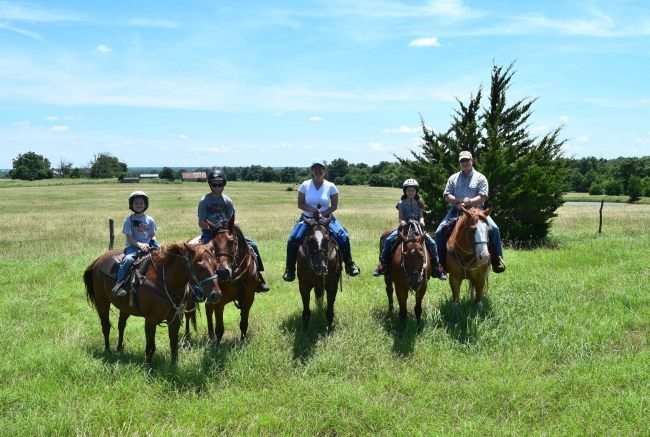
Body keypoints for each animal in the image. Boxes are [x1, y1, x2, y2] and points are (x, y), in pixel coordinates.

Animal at [83, 242, 221, 364]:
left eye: (215, 265)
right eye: (199, 265)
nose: (216, 295)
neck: (165, 281)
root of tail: (98, 260)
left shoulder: (175, 319)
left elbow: (173, 344)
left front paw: (173, 366)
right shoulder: (150, 320)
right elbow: (150, 346)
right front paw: (148, 367)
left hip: (125, 308)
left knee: (121, 325)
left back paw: (120, 348)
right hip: (102, 303)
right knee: (106, 326)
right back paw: (107, 350)